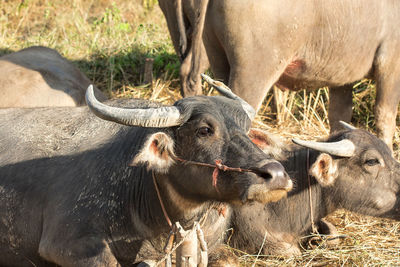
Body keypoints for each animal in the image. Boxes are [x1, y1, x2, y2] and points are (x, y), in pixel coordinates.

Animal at [158, 0, 400, 149]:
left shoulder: (342, 78)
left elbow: (339, 117)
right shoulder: (390, 64)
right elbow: (384, 115)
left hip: (216, 58)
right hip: (252, 72)